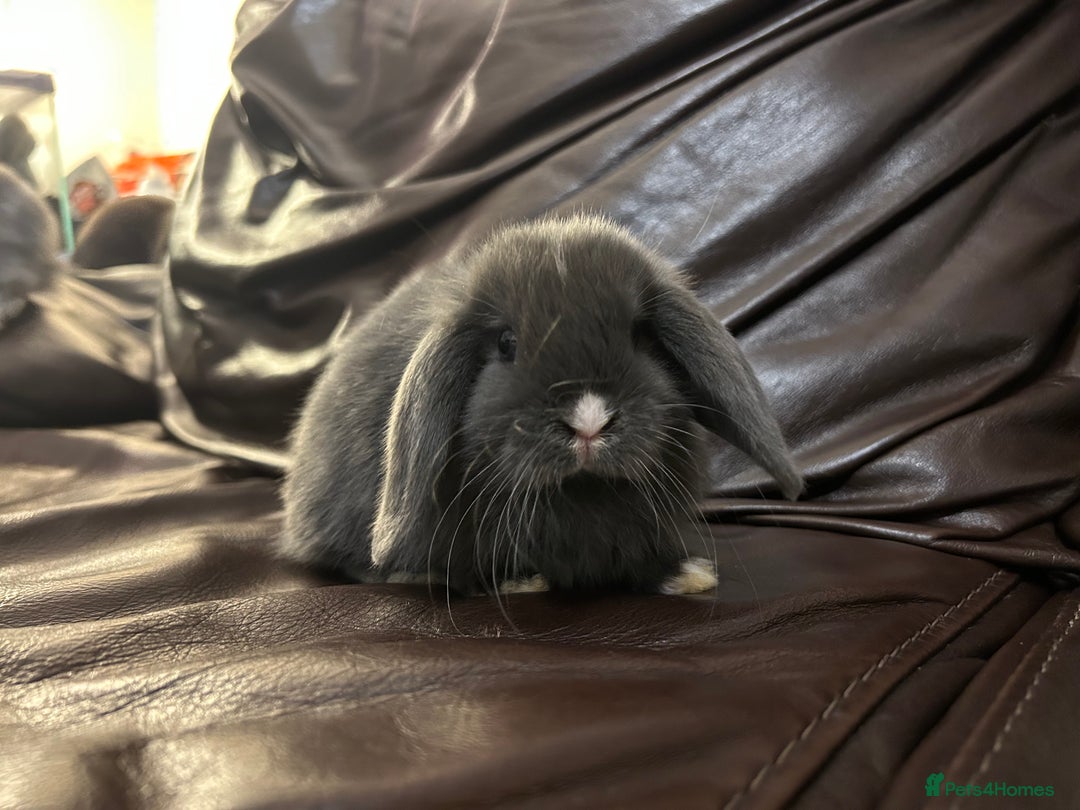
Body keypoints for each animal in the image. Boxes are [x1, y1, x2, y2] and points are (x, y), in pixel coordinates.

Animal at [280, 214, 803, 596]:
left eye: (641, 337)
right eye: (507, 343)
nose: (588, 419)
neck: (581, 491)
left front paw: (690, 575)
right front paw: (521, 581)